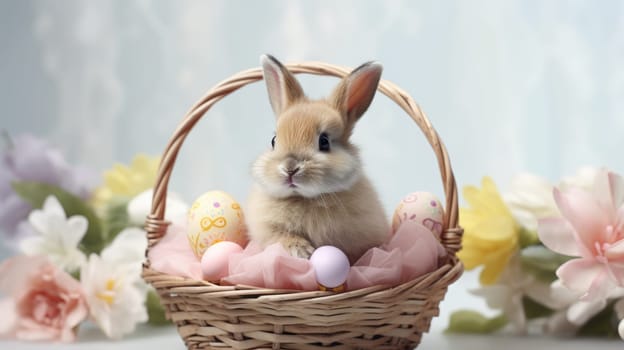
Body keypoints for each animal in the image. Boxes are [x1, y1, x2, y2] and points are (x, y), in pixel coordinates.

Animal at [246, 54, 388, 262]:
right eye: (273, 141)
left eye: (324, 142)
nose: (290, 168)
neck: (303, 198)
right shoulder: (268, 230)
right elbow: (282, 237)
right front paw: (302, 251)